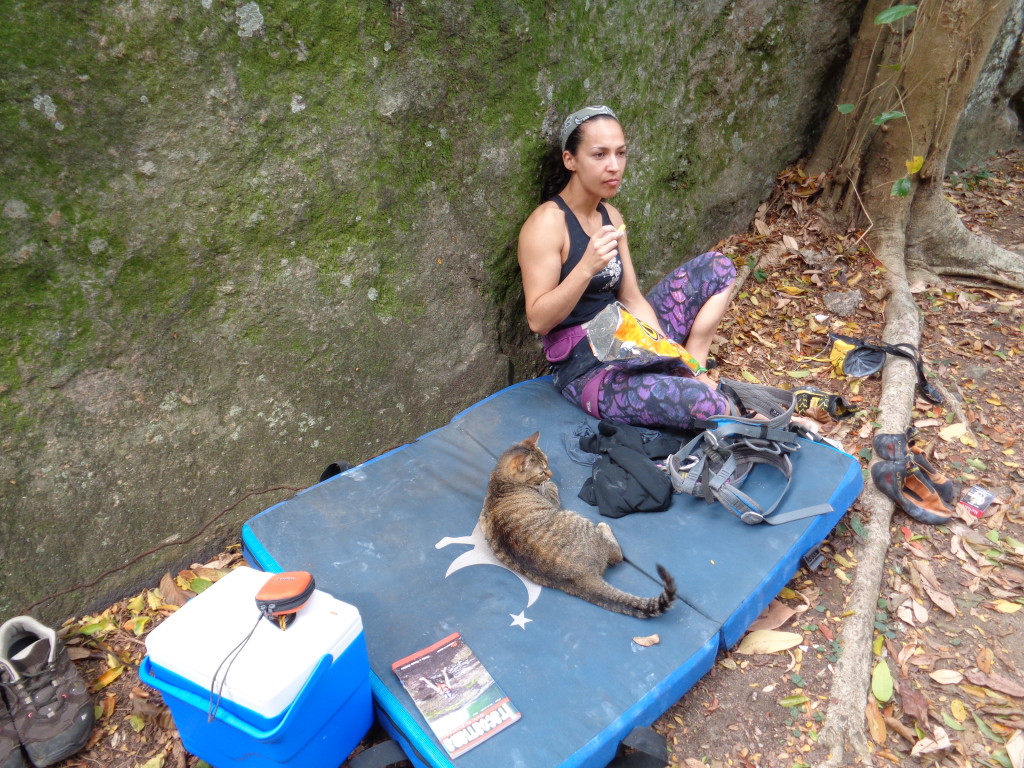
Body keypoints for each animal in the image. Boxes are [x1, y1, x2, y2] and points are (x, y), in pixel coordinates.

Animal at [481, 434, 679, 618]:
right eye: (541, 472)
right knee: (616, 555)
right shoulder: (551, 500)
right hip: (578, 519)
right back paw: (604, 527)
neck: (501, 480)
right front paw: (549, 484)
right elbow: (550, 489)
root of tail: (583, 576)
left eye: (547, 463)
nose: (551, 474)